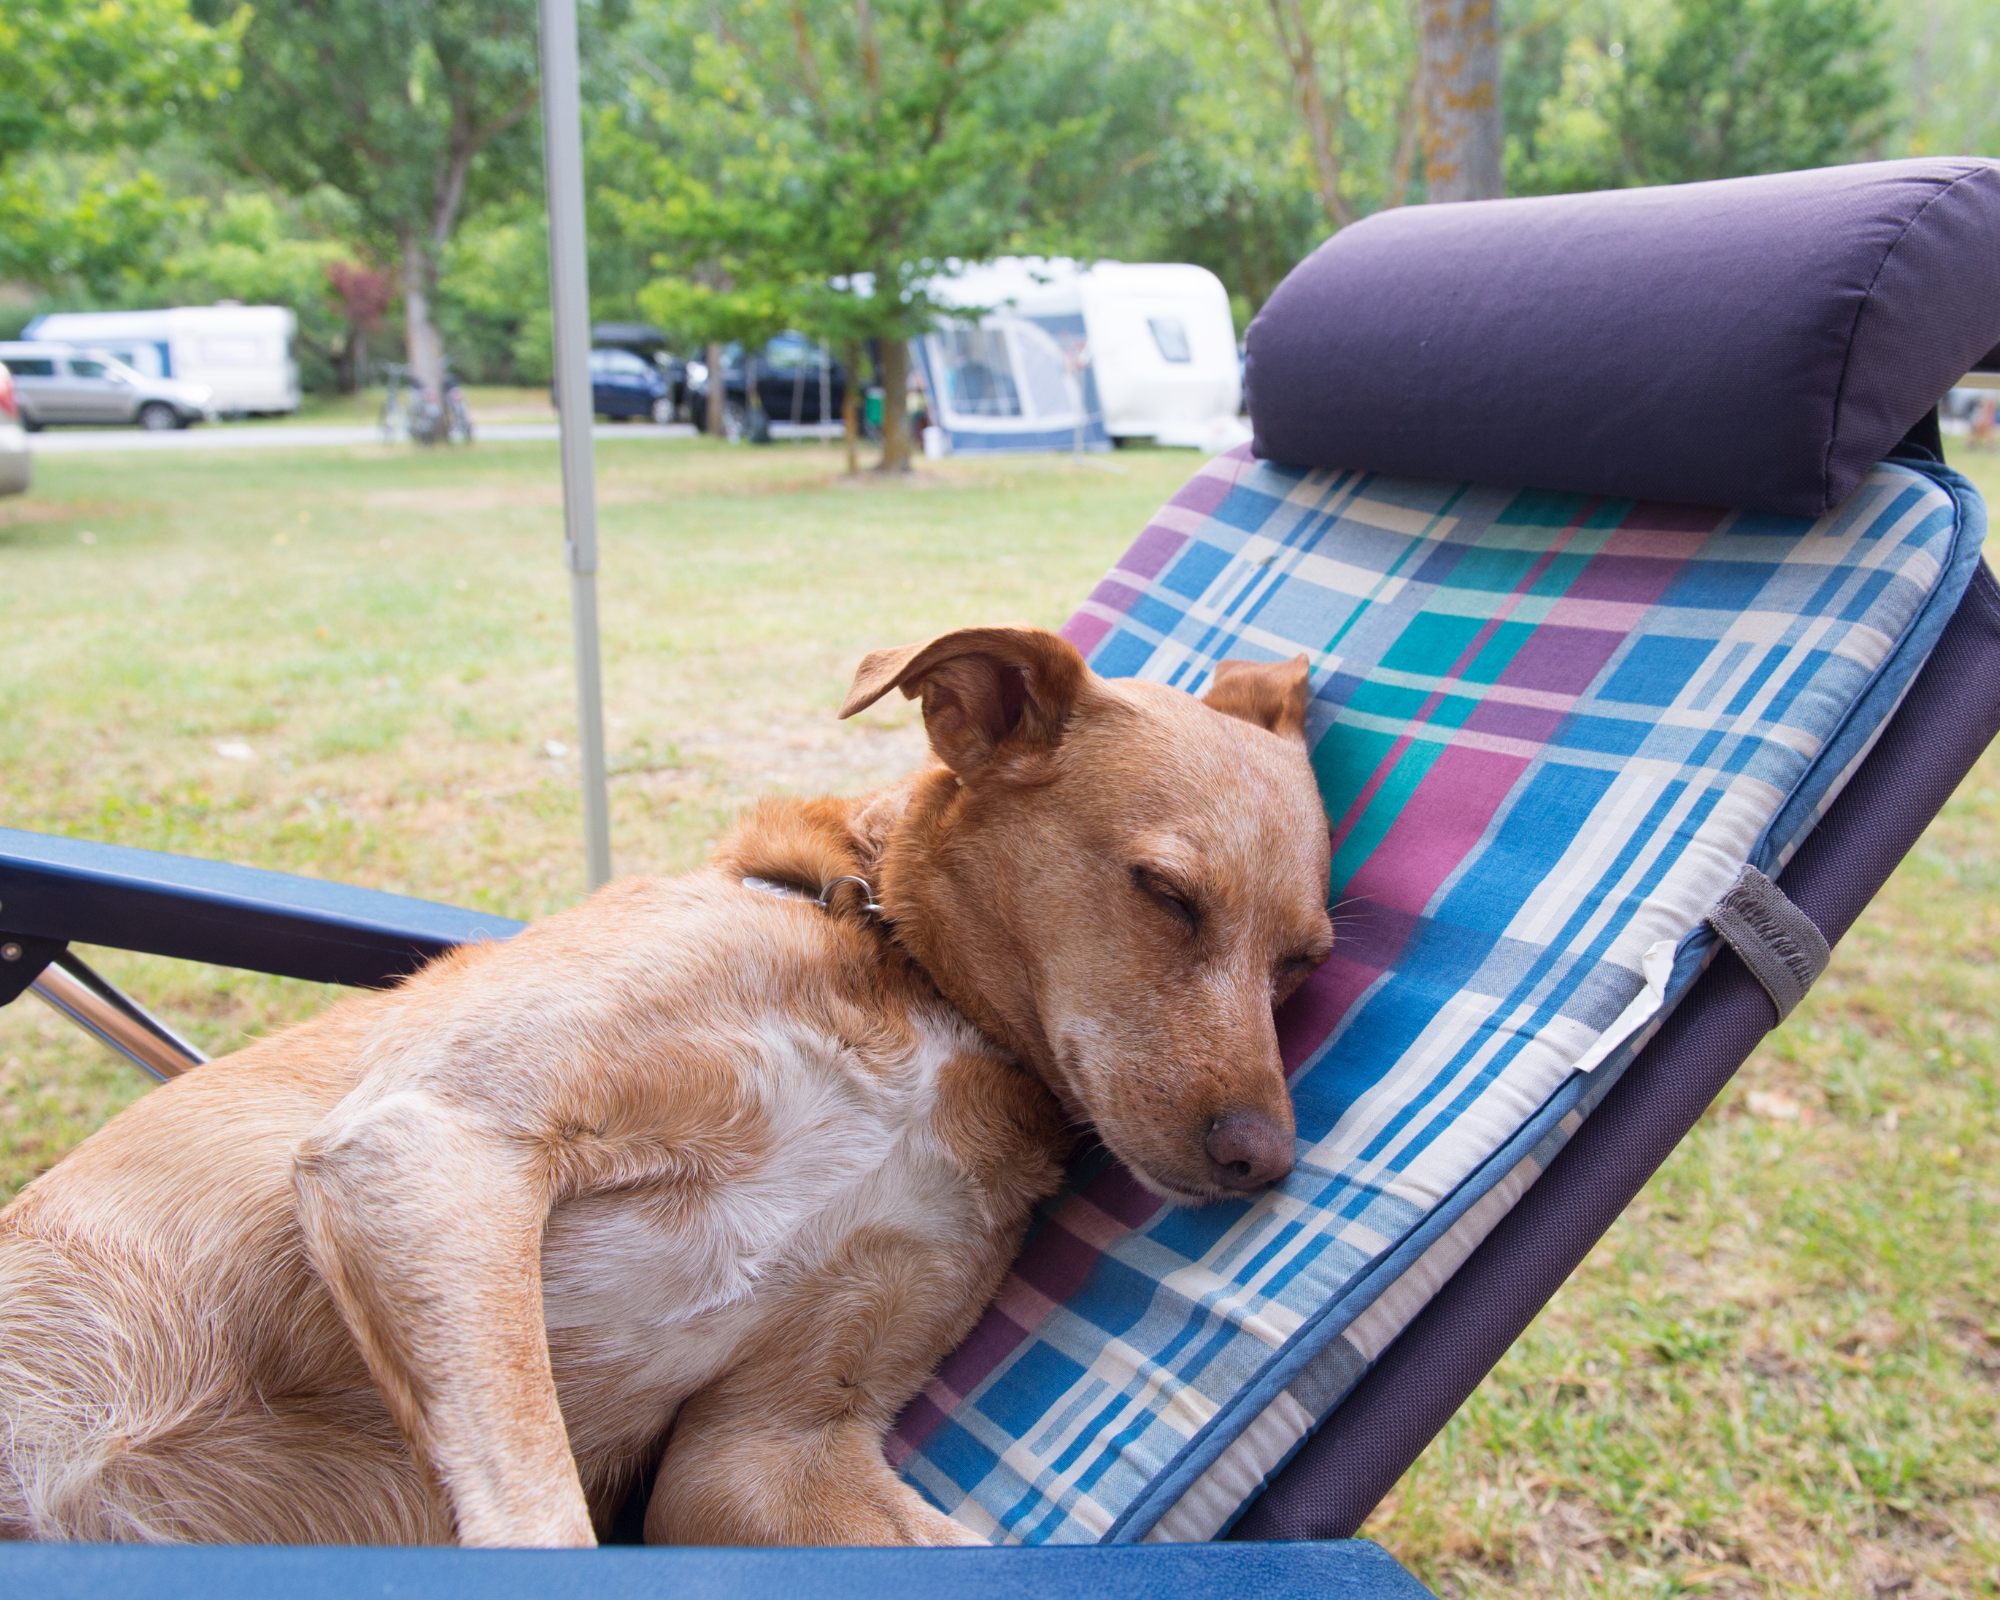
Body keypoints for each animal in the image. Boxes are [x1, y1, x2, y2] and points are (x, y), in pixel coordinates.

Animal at [3, 628, 1344, 1552]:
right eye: (1165, 893)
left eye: (1299, 963)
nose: (1265, 1160)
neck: (926, 1000)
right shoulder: (430, 1139)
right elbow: (543, 1524)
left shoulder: (763, 1454)